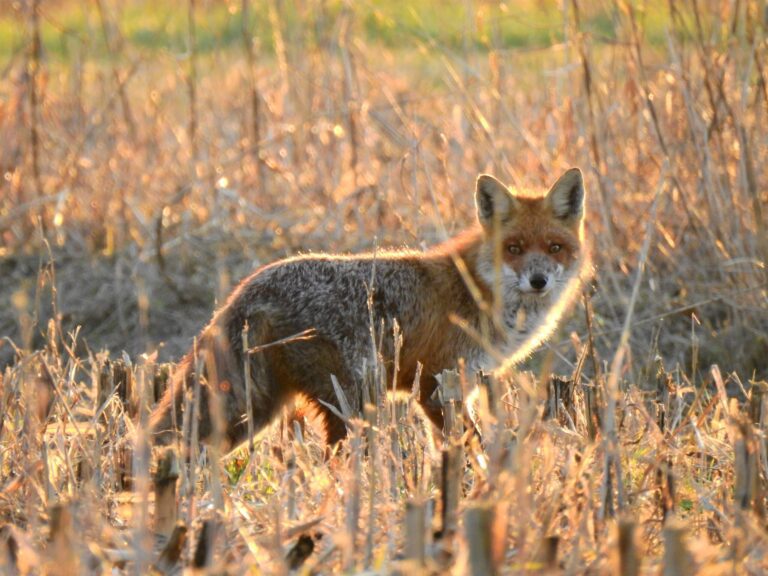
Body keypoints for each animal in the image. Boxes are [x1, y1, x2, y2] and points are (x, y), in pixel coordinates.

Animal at [153, 169, 592, 448]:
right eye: (513, 248)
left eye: (555, 247)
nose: (539, 280)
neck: (476, 289)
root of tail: (246, 289)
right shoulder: (437, 385)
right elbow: (470, 447)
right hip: (355, 400)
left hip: (257, 413)